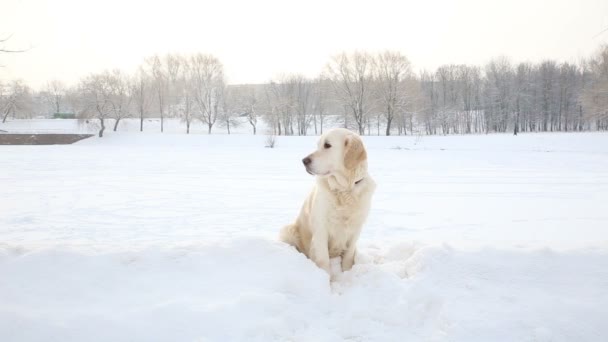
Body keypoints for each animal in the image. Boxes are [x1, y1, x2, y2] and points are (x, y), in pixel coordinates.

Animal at [280, 127, 376, 276]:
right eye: (318, 145)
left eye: (327, 145)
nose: (304, 160)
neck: (344, 190)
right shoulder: (321, 228)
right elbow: (323, 259)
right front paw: (326, 279)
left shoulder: (356, 228)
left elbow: (348, 256)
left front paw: (346, 274)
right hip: (288, 231)